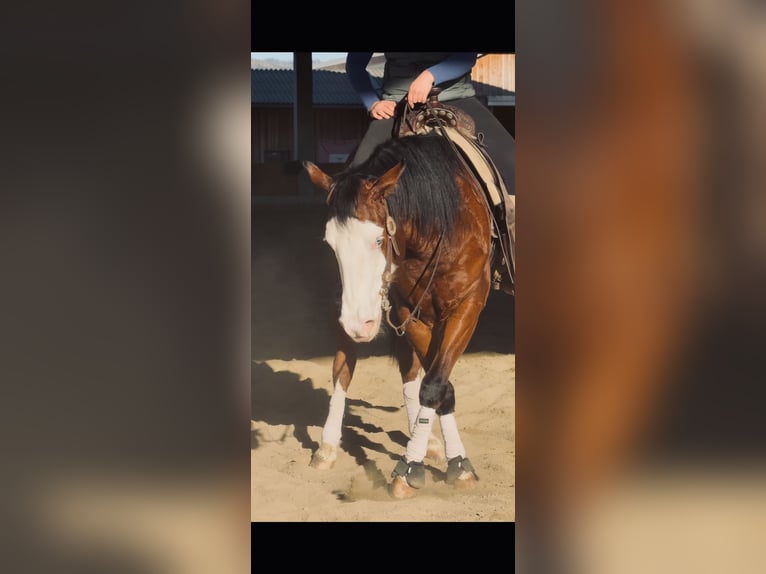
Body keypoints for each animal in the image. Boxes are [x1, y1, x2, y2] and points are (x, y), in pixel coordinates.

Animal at [304, 131, 494, 499]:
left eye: (379, 239)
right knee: (344, 366)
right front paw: (424, 460)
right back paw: (328, 445)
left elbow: (434, 383)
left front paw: (435, 462)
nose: (359, 324)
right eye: (330, 244)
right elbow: (437, 385)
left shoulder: (467, 305)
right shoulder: (408, 310)